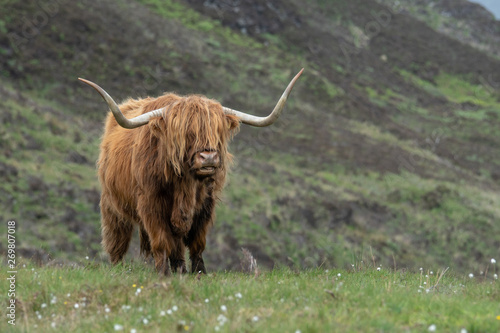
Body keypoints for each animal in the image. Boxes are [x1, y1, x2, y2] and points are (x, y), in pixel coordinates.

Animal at [80, 68, 302, 274]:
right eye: (187, 133)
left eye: (216, 130)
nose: (208, 158)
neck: (185, 183)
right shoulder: (151, 203)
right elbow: (161, 241)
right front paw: (163, 274)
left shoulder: (205, 204)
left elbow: (196, 243)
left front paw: (198, 273)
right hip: (112, 206)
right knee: (117, 240)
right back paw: (117, 267)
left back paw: (180, 269)